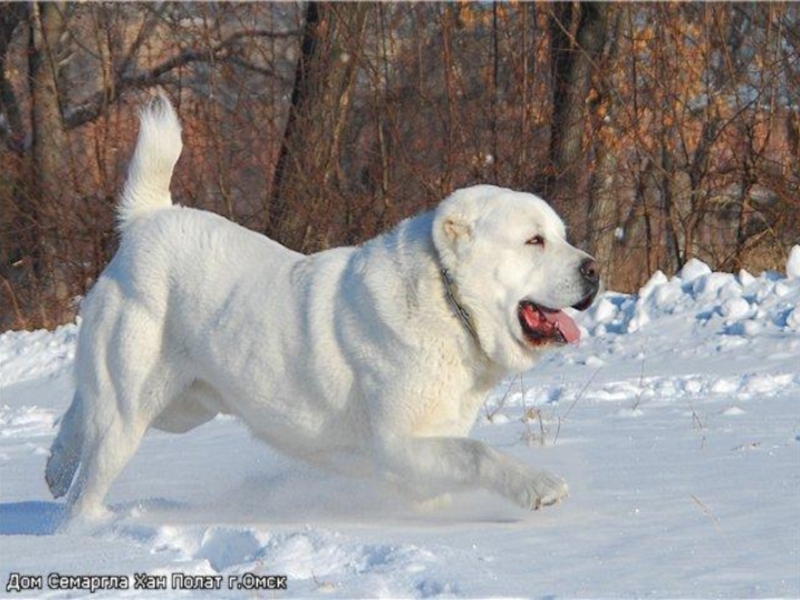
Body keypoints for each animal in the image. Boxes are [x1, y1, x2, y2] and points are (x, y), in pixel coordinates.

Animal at [43, 95, 596, 520]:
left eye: (562, 236)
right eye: (534, 241)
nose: (593, 269)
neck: (449, 302)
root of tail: (148, 219)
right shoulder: (397, 445)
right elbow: (477, 453)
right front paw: (538, 486)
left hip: (184, 406)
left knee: (80, 412)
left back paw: (55, 468)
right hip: (132, 406)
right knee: (92, 468)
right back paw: (89, 524)